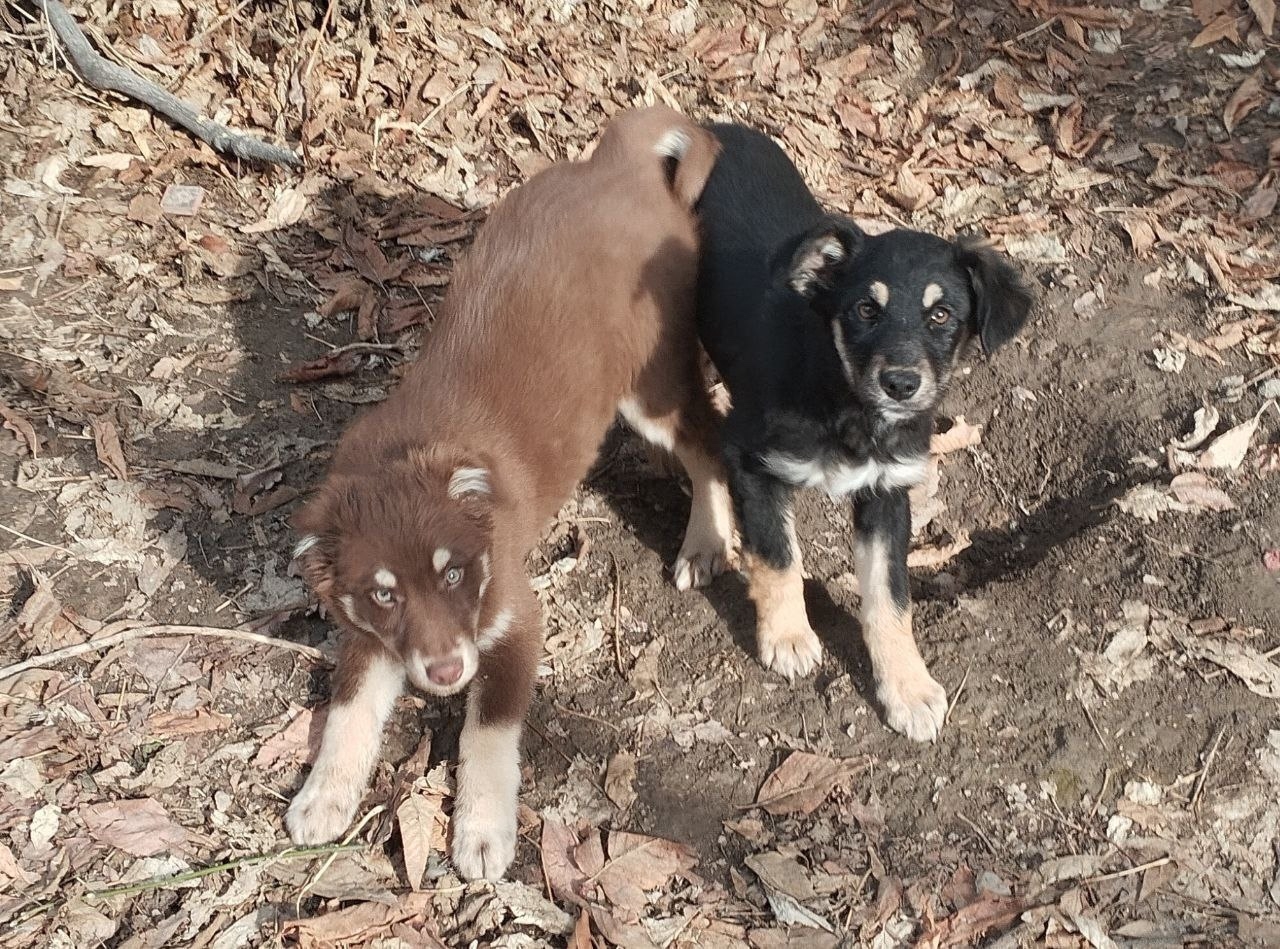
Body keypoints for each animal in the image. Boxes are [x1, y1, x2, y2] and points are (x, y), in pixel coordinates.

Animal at [286, 106, 733, 881]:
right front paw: (324, 794)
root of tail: (614, 165)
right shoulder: (370, 635)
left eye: (455, 573)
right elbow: (347, 712)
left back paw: (703, 542)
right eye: (383, 593)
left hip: (653, 378)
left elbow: (487, 733)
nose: (443, 671)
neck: (403, 456)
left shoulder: (516, 614)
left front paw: (483, 831)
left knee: (707, 444)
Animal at [695, 123, 1033, 742]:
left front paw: (907, 688)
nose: (900, 384)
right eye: (863, 310)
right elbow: (778, 556)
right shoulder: (752, 460)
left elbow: (889, 598)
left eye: (942, 315)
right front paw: (788, 637)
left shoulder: (887, 493)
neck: (844, 400)